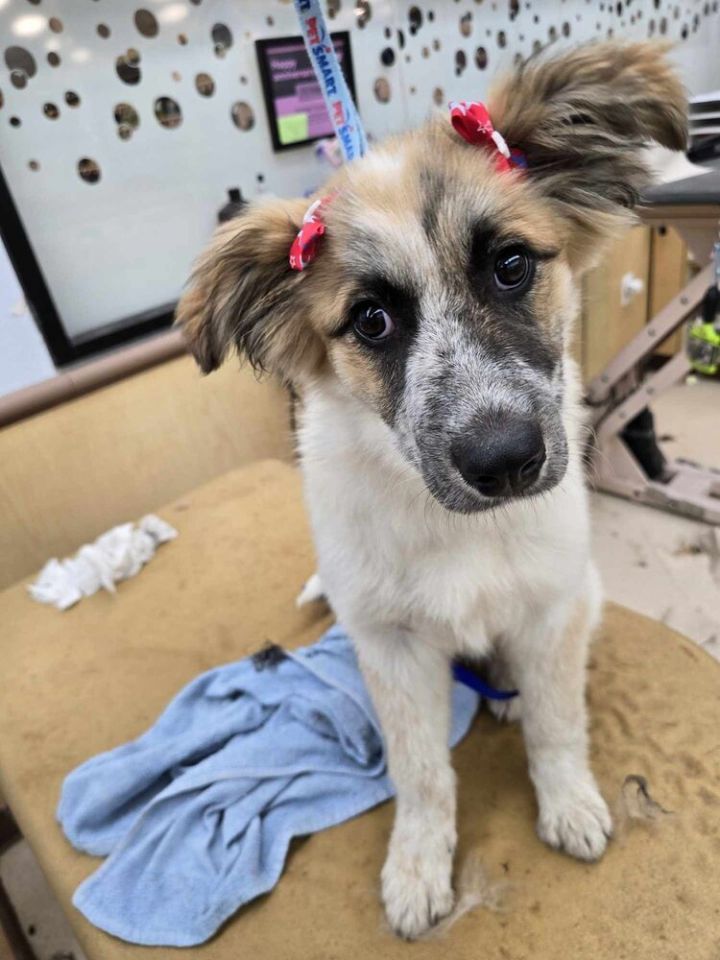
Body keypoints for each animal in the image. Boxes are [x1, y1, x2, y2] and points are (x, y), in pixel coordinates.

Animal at [179, 43, 688, 936]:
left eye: (511, 266)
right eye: (372, 320)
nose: (506, 460)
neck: (462, 529)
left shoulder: (552, 608)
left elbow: (559, 723)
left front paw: (569, 802)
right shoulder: (392, 646)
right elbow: (420, 771)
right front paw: (418, 865)